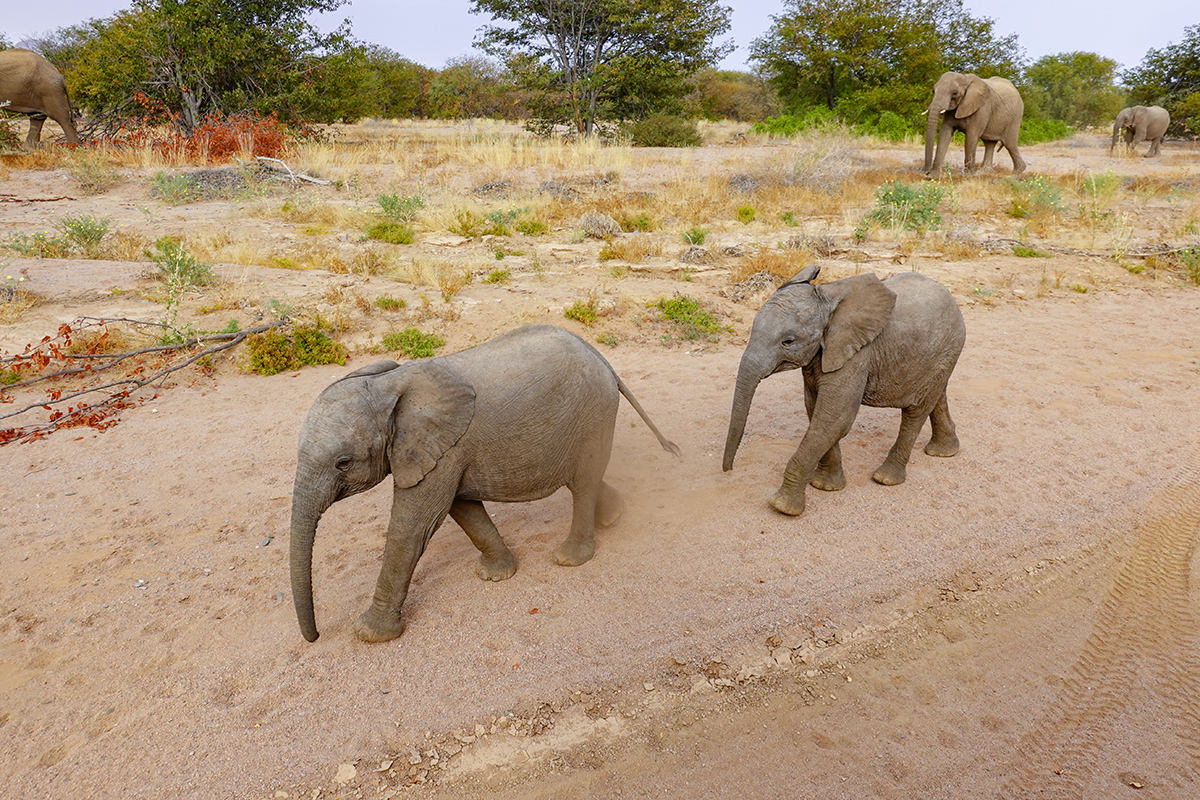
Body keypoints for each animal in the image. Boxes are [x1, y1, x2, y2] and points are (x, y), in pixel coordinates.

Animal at [289, 324, 680, 643]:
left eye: (343, 463)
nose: (317, 636)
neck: (390, 384)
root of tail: (603, 359)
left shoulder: (443, 450)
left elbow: (413, 526)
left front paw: (370, 634)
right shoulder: (447, 454)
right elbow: (461, 509)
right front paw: (496, 576)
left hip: (594, 411)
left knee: (582, 485)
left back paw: (569, 559)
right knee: (586, 478)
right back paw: (613, 517)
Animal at [723, 266, 965, 516]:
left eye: (788, 341)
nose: (728, 470)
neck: (826, 299)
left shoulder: (857, 353)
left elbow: (835, 418)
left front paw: (782, 507)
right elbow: (816, 411)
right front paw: (825, 486)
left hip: (947, 346)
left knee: (916, 411)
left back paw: (885, 478)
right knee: (937, 396)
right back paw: (944, 452)